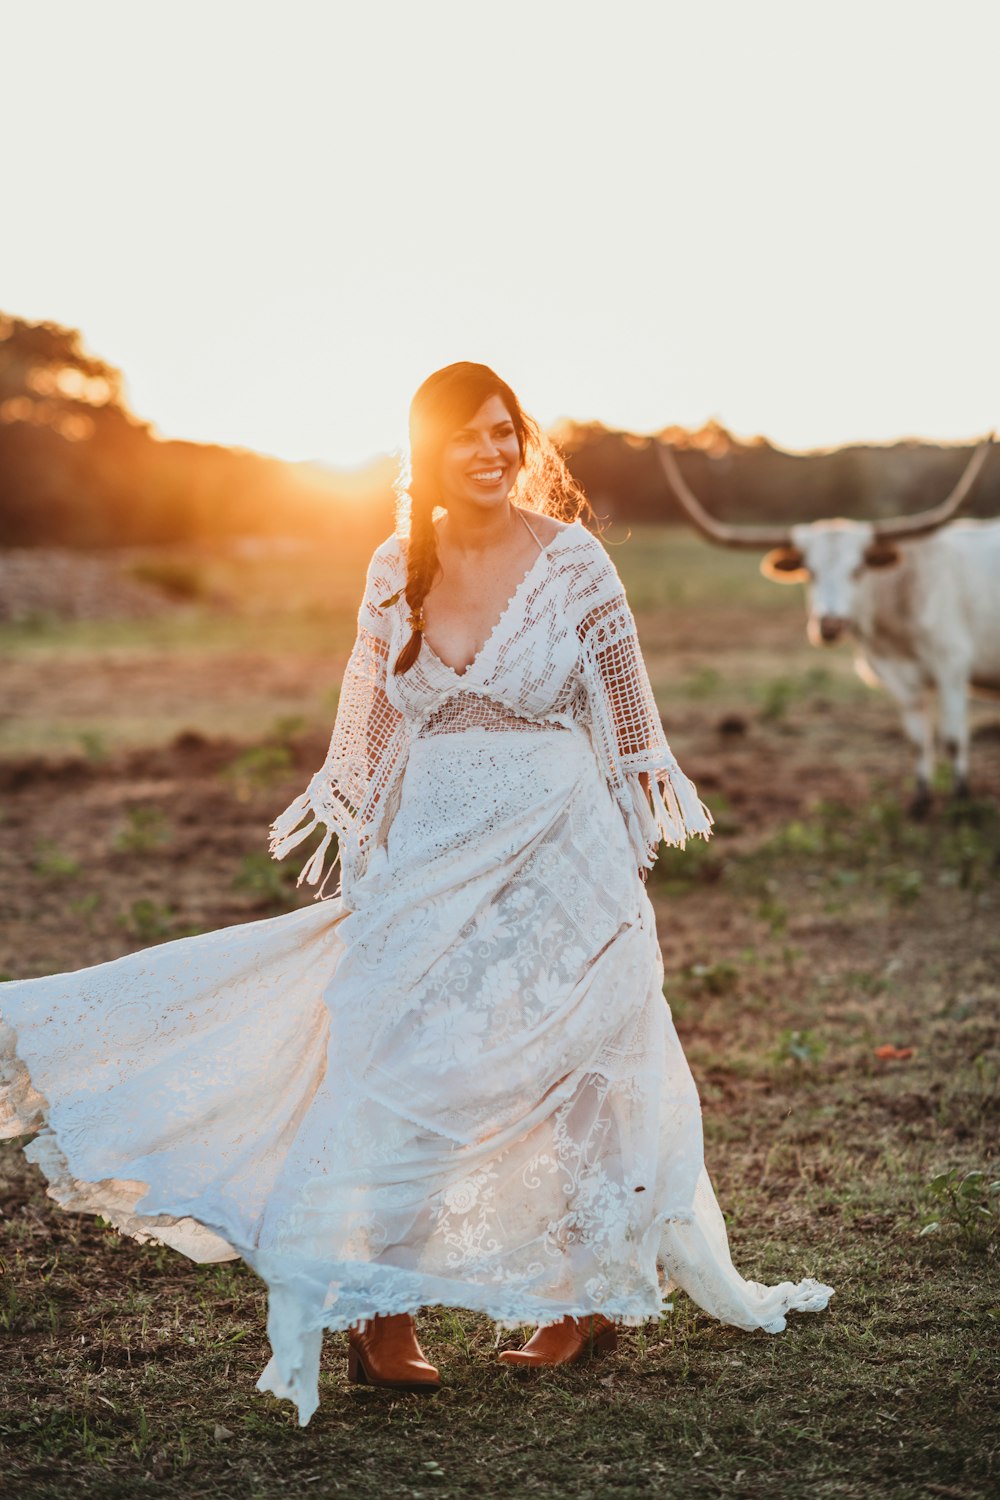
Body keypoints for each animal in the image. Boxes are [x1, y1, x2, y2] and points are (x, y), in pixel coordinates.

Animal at [659, 438, 995, 816]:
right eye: (810, 571)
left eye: (858, 570)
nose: (830, 623)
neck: (900, 588)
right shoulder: (899, 678)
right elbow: (917, 740)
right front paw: (920, 802)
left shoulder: (951, 667)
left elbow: (953, 739)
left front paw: (961, 802)